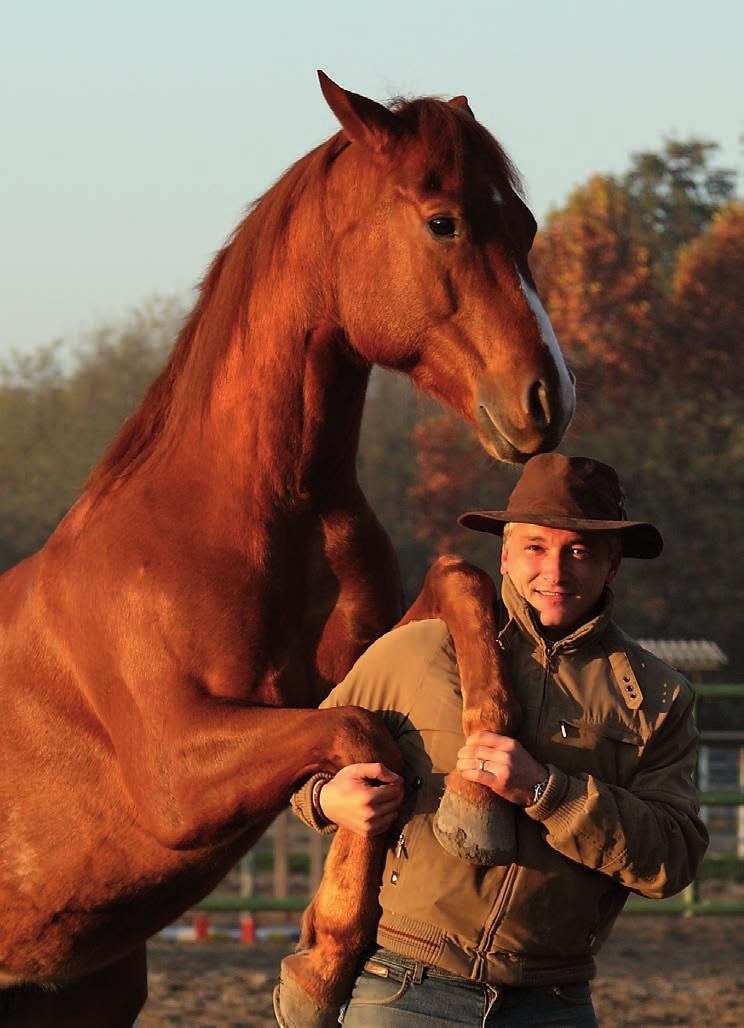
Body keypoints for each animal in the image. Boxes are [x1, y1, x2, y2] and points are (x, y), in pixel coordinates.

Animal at [0, 74, 575, 1028]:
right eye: (444, 221)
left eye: (523, 224)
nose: (549, 398)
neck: (244, 517)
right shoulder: (178, 776)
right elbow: (364, 739)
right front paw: (318, 962)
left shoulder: (348, 667)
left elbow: (458, 590)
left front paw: (475, 807)